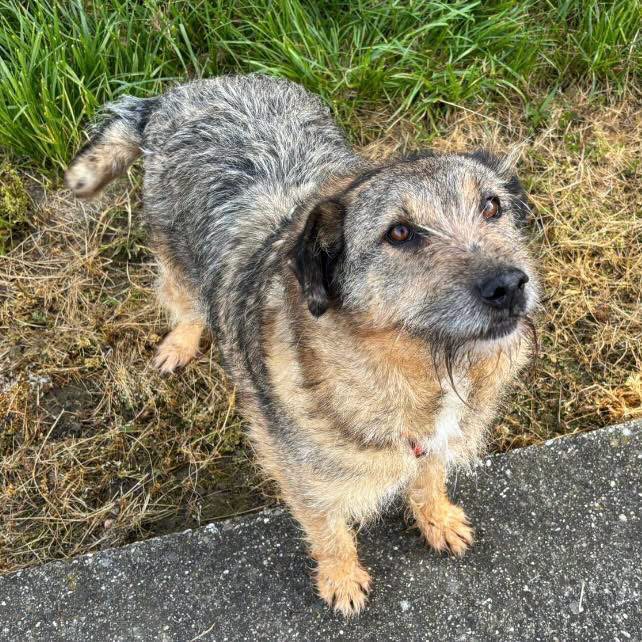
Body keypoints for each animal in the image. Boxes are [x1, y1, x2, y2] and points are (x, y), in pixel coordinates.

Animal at [65, 74, 539, 616]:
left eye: (491, 206)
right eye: (400, 232)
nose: (509, 285)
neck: (428, 364)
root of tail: (178, 93)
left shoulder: (433, 440)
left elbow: (428, 479)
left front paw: (437, 518)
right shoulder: (301, 474)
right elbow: (328, 529)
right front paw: (341, 578)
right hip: (174, 255)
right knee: (182, 300)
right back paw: (180, 343)